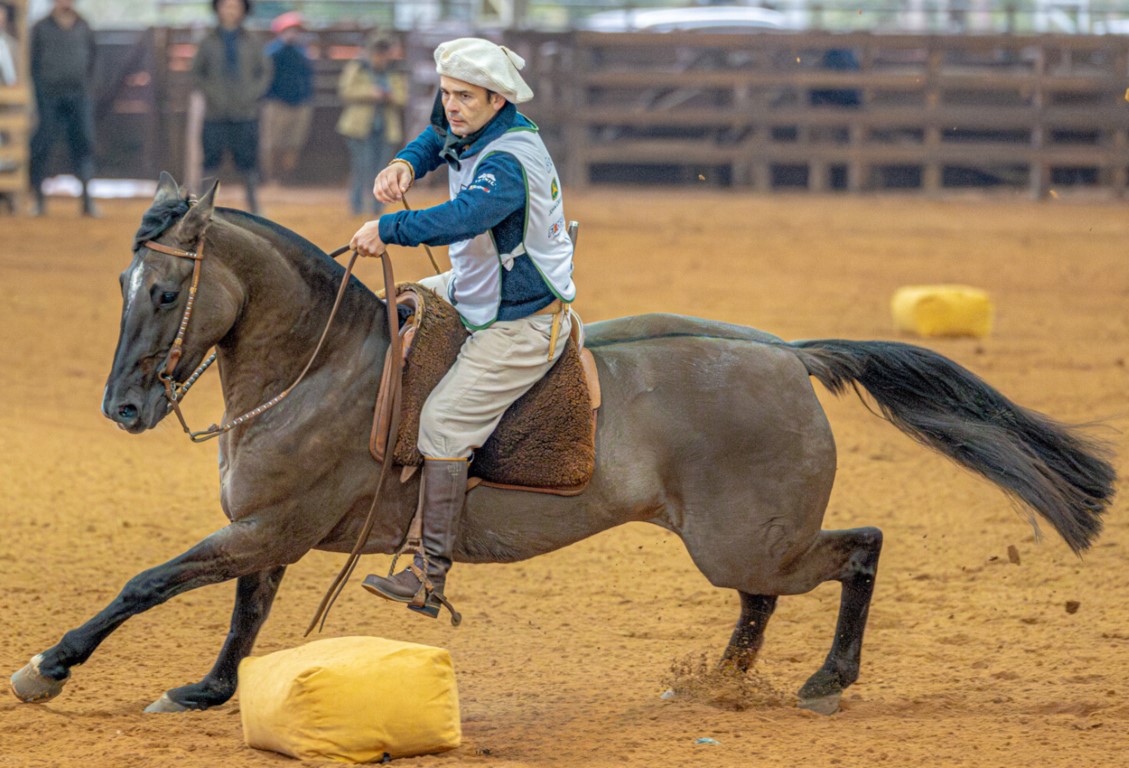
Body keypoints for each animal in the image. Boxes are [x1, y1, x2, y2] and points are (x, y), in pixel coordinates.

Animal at [8, 172, 1115, 713]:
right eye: (121, 285)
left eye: (162, 291)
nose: (121, 409)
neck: (319, 370)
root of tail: (788, 355)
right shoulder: (268, 536)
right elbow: (241, 614)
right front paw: (205, 691)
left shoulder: (268, 527)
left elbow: (149, 582)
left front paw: (49, 668)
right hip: (738, 542)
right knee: (765, 597)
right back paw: (719, 685)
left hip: (750, 540)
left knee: (859, 551)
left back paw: (823, 684)